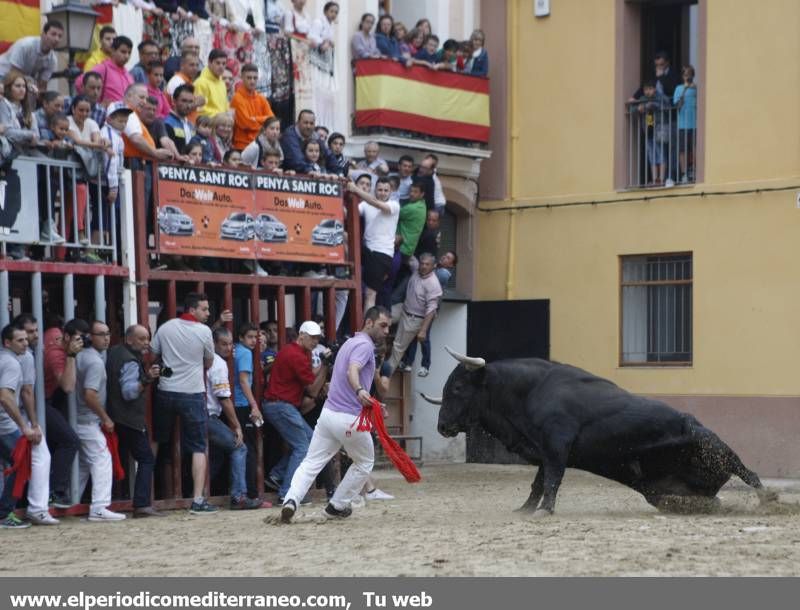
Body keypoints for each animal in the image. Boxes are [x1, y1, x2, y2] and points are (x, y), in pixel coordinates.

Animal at [418, 346, 776, 512]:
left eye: (458, 388)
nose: (443, 426)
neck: (527, 392)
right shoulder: (544, 449)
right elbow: (538, 482)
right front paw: (525, 510)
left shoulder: (557, 444)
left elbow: (552, 479)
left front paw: (544, 511)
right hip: (670, 491)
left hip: (715, 445)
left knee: (750, 473)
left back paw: (769, 500)